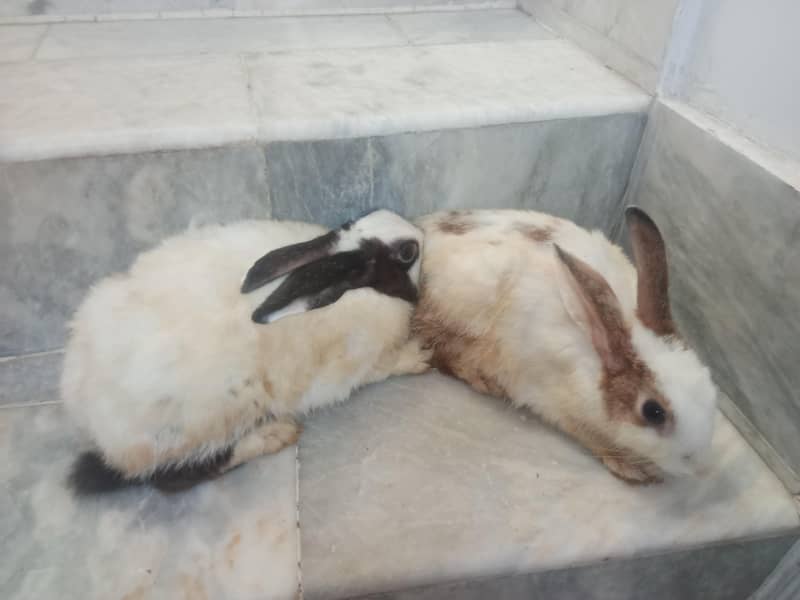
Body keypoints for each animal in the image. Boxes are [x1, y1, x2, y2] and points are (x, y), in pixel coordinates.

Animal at [62, 209, 429, 494]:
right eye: (407, 252)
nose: (420, 231)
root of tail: (89, 418)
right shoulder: (356, 365)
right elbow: (383, 368)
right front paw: (420, 355)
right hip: (203, 425)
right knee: (178, 477)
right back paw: (274, 435)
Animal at [412, 206, 717, 484]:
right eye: (653, 412)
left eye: (710, 386)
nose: (701, 465)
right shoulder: (554, 400)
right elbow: (588, 435)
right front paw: (631, 468)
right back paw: (482, 380)